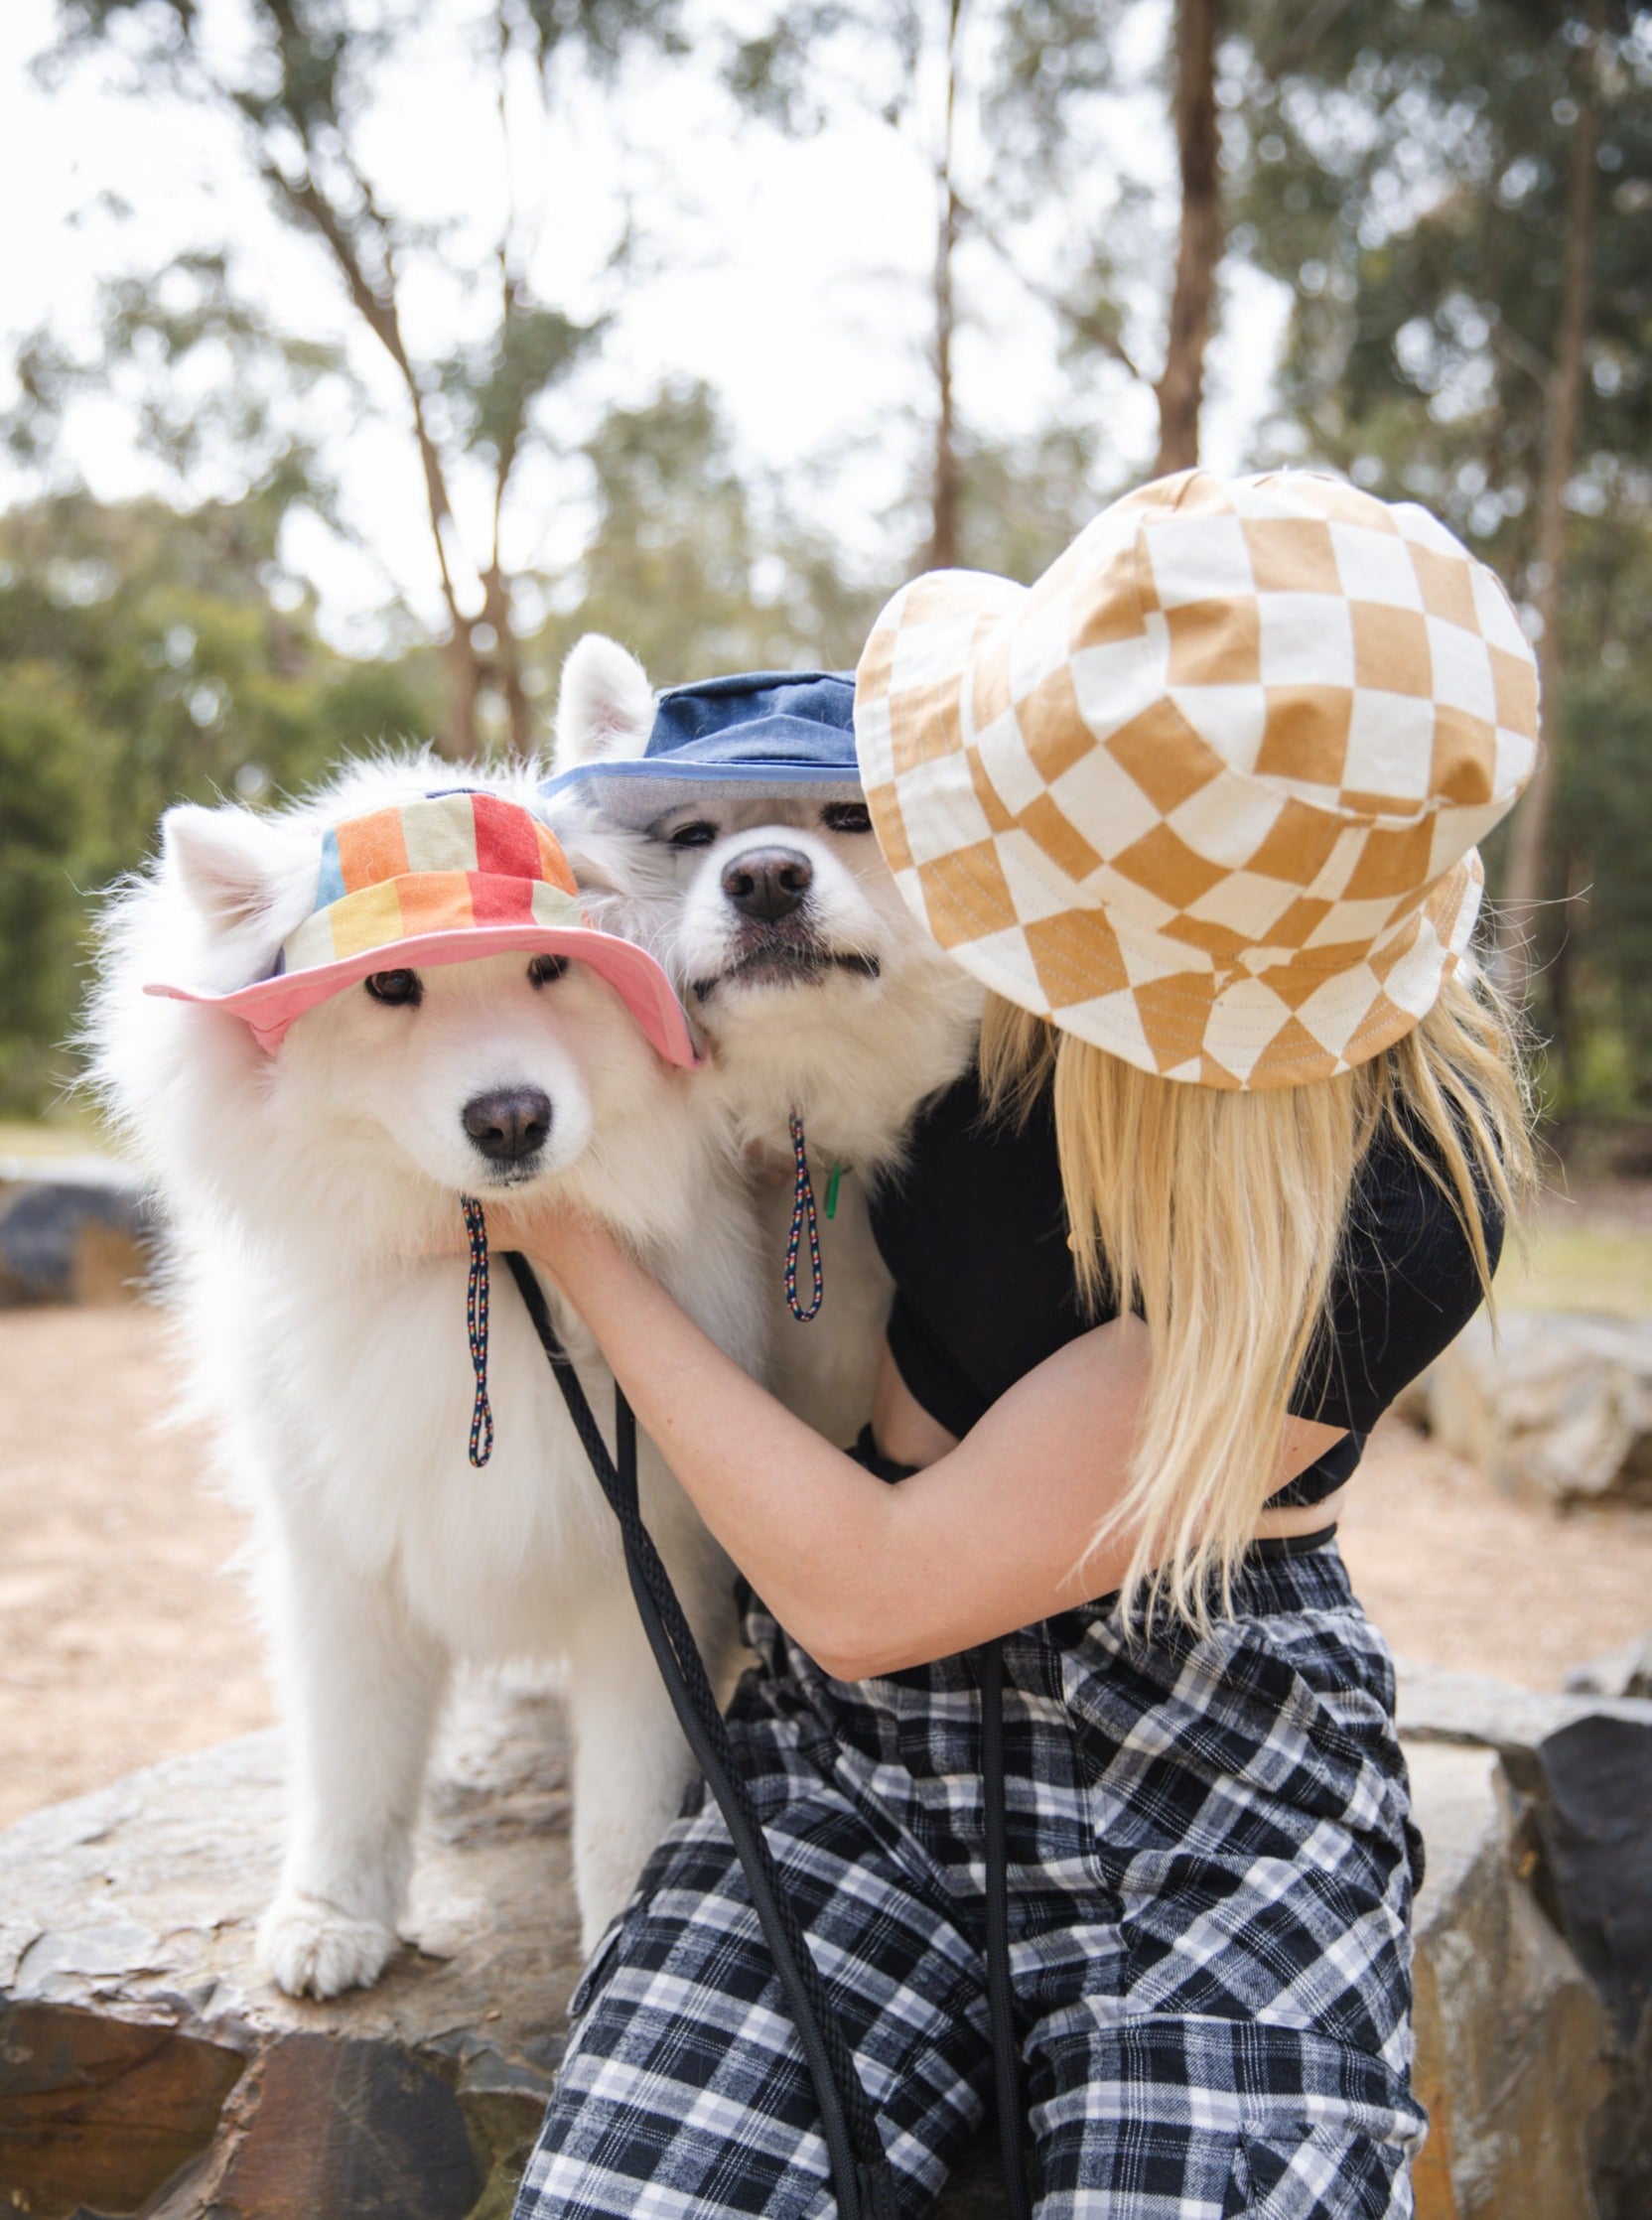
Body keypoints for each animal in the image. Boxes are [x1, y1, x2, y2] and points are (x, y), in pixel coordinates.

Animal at [99, 755, 772, 2007]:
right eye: (390, 983)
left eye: (552, 965)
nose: (510, 1118)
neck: (487, 1273)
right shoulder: (343, 1557)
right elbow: (353, 1762)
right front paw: (329, 1920)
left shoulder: (646, 1562)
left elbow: (624, 1796)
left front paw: (615, 1933)